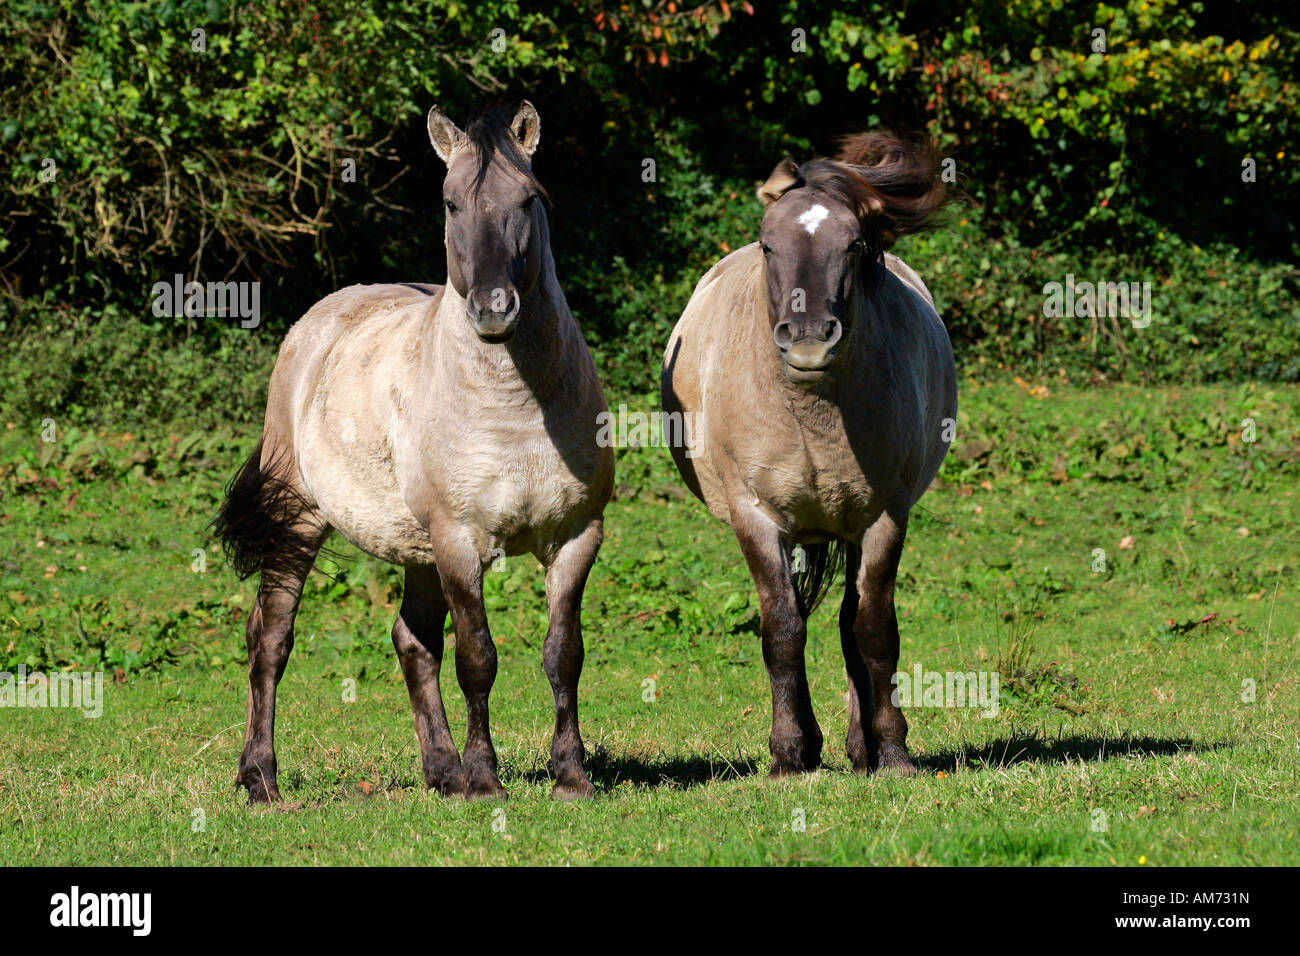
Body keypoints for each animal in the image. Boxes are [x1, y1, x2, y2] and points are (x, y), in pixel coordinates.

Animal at [213, 100, 613, 806]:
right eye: (451, 203)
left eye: (530, 199)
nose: (493, 310)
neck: (513, 411)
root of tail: (315, 324)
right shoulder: (459, 541)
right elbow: (478, 658)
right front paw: (486, 781)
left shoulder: (574, 535)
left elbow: (563, 654)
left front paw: (570, 774)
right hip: (300, 523)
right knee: (271, 639)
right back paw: (261, 778)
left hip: (417, 549)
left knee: (412, 642)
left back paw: (441, 772)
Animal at [660, 132, 956, 780]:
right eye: (770, 245)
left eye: (854, 246)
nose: (809, 342)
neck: (812, 411)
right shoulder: (756, 517)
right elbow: (783, 629)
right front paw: (790, 752)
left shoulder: (883, 517)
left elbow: (873, 631)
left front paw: (892, 750)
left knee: (849, 624)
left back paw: (861, 745)